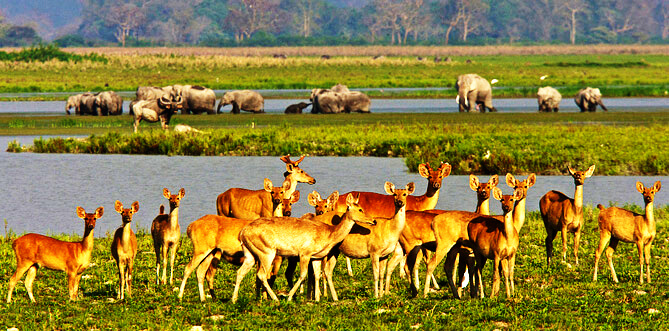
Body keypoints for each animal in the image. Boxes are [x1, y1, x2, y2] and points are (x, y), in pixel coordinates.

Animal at [231, 193, 376, 304]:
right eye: (360, 209)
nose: (373, 221)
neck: (329, 234)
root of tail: (242, 233)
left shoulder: (316, 256)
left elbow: (316, 274)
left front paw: (316, 299)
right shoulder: (304, 253)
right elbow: (303, 274)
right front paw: (290, 297)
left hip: (249, 253)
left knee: (240, 272)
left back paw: (234, 299)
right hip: (267, 251)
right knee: (261, 274)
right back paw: (275, 298)